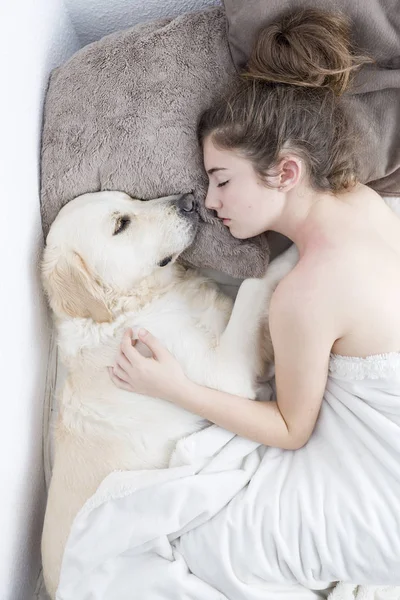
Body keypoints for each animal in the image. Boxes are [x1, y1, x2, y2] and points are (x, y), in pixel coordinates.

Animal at [40, 190, 296, 596]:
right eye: (121, 223)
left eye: (130, 197)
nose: (189, 200)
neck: (128, 309)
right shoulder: (224, 376)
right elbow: (254, 285)